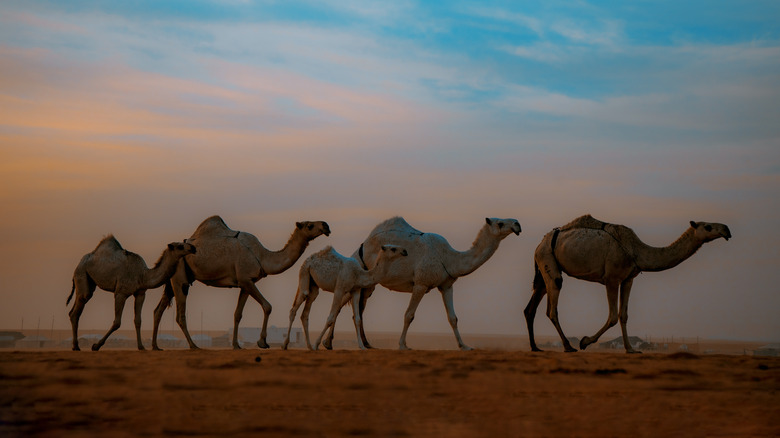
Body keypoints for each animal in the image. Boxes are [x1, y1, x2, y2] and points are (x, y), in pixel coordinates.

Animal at [66, 234, 198, 350]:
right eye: (180, 246)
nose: (193, 248)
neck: (143, 275)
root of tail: (81, 262)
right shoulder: (120, 293)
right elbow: (117, 322)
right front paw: (96, 346)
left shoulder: (140, 293)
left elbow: (138, 320)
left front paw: (141, 347)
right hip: (81, 274)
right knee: (77, 309)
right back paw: (76, 346)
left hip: (88, 280)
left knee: (74, 311)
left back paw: (75, 345)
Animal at [152, 214, 330, 350]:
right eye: (309, 225)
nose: (326, 225)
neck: (262, 256)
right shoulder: (245, 280)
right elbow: (268, 306)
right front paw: (262, 342)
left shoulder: (246, 283)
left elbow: (238, 314)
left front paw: (236, 345)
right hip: (180, 279)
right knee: (180, 315)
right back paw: (194, 345)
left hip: (173, 279)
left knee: (158, 310)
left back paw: (155, 346)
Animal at [284, 243, 412, 350]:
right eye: (393, 248)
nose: (405, 251)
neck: (358, 274)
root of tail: (308, 259)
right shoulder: (339, 289)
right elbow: (330, 318)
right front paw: (317, 344)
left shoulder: (356, 291)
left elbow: (357, 319)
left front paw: (362, 346)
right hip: (304, 273)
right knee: (295, 307)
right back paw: (285, 345)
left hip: (314, 285)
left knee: (305, 313)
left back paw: (309, 346)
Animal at [350, 217, 520, 350]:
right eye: (500, 223)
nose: (517, 224)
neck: (450, 258)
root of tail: (362, 246)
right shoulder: (421, 284)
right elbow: (409, 315)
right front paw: (402, 345)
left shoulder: (446, 286)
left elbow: (453, 317)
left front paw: (464, 346)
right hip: (364, 272)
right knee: (360, 308)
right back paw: (365, 343)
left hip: (369, 283)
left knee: (361, 308)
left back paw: (367, 343)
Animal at [524, 214, 732, 354]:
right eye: (708, 226)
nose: (727, 230)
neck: (637, 250)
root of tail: (539, 243)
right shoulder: (612, 278)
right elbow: (613, 317)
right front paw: (584, 342)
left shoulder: (628, 279)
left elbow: (623, 315)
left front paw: (631, 349)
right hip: (547, 258)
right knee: (552, 305)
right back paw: (568, 346)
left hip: (543, 267)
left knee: (531, 307)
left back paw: (535, 347)